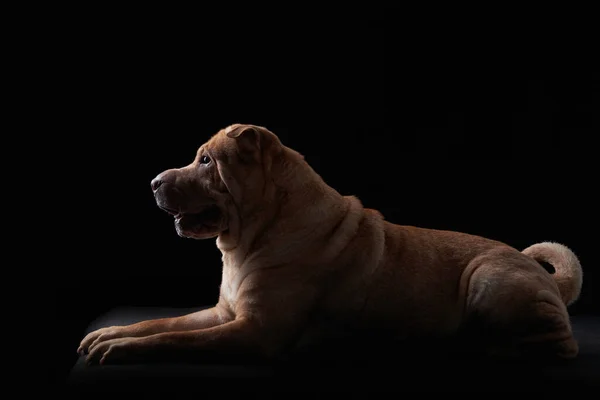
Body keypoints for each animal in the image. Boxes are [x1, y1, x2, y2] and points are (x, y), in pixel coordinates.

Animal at [77, 124, 584, 366]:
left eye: (205, 161)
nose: (153, 182)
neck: (255, 236)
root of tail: (544, 277)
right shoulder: (224, 314)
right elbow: (162, 322)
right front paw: (111, 333)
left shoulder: (254, 332)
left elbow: (177, 339)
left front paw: (121, 349)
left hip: (487, 278)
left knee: (560, 345)